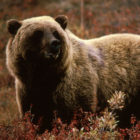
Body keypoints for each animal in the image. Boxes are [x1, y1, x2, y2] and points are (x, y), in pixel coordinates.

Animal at [6, 15, 140, 132]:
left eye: (55, 32)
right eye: (38, 33)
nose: (55, 43)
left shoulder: (72, 87)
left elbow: (77, 116)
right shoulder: (28, 91)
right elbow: (36, 118)